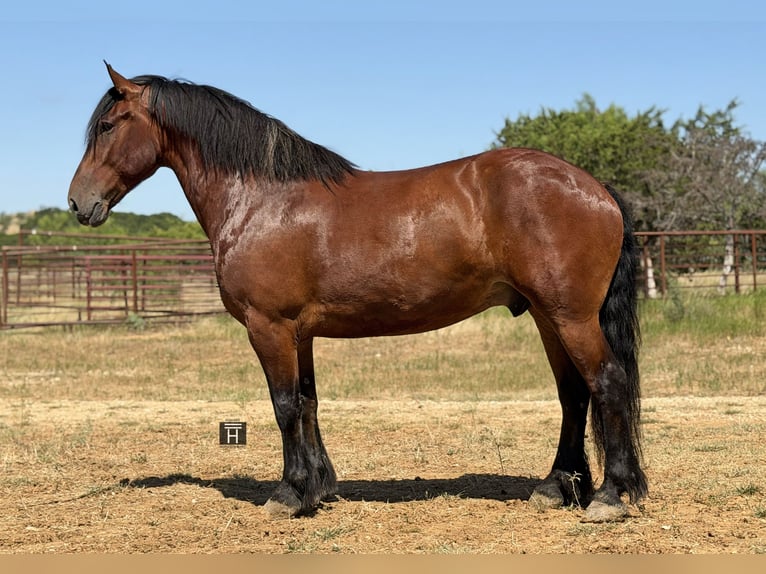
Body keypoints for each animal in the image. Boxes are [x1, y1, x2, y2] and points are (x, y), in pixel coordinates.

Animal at [68, 63, 647, 523]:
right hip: (549, 318)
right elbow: (307, 402)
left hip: (571, 317)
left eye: (107, 125)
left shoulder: (269, 326)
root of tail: (594, 187)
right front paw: (318, 488)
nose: (77, 203)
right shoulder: (299, 333)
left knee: (608, 383)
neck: (261, 199)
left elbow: (283, 405)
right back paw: (556, 488)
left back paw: (610, 497)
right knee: (574, 395)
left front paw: (287, 494)